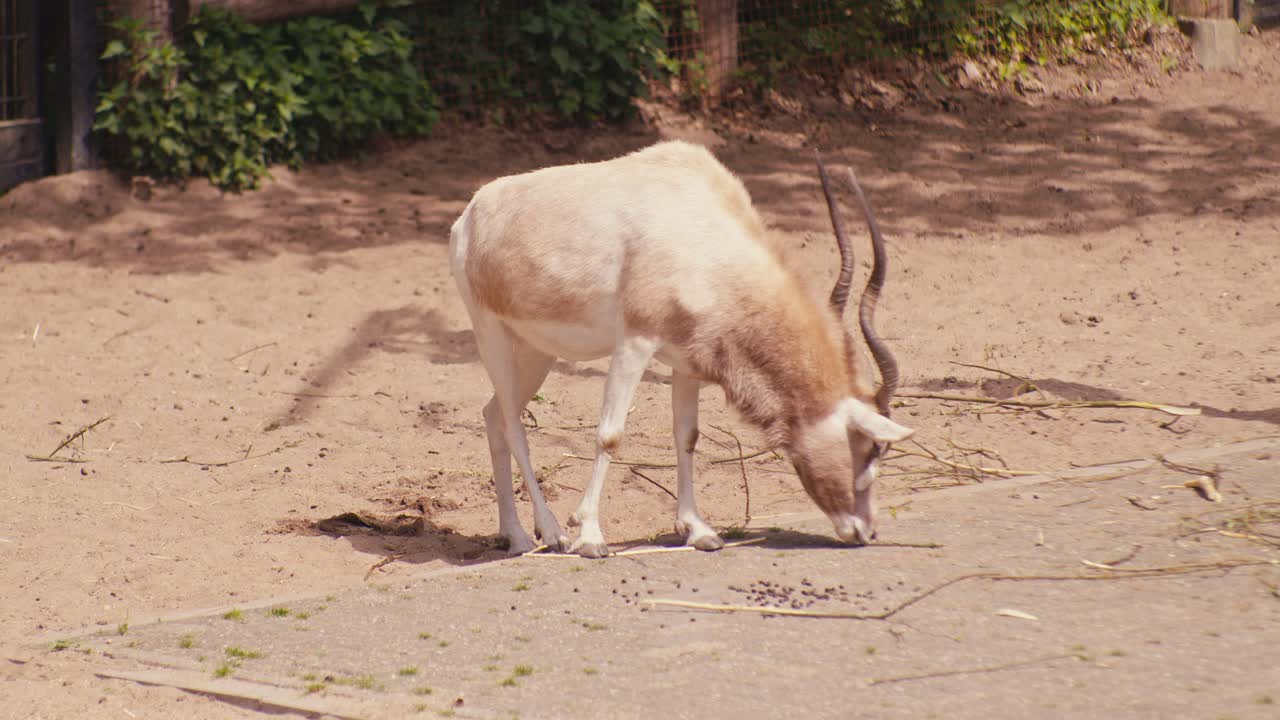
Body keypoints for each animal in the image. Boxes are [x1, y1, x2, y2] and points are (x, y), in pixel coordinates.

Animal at [448, 140, 913, 558]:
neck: (702, 231)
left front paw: (698, 530)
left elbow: (687, 436)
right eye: (874, 448)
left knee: (494, 417)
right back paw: (548, 533)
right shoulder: (635, 343)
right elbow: (610, 435)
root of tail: (469, 216)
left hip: (536, 350)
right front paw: (591, 536)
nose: (866, 531)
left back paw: (514, 535)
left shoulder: (688, 359)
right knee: (513, 425)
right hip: (491, 332)